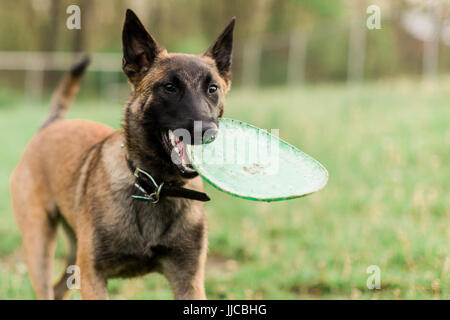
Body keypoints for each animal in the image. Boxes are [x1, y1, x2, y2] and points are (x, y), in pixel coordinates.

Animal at [9, 10, 236, 300]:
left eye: (212, 89)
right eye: (170, 87)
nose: (207, 131)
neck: (155, 187)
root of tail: (52, 126)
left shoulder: (189, 280)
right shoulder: (92, 277)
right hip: (40, 246)